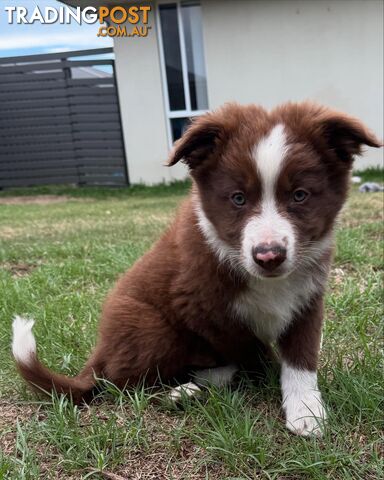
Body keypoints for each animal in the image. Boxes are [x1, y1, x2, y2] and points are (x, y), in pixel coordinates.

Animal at [12, 102, 380, 436]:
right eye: (237, 198)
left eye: (300, 196)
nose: (268, 256)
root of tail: (99, 353)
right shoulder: (203, 308)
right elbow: (255, 352)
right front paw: (271, 380)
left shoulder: (307, 296)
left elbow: (301, 357)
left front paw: (305, 410)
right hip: (150, 327)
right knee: (124, 383)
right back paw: (183, 390)